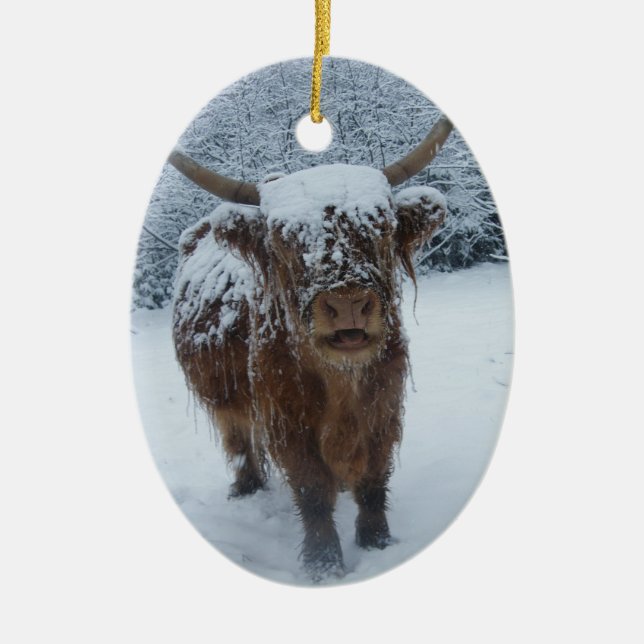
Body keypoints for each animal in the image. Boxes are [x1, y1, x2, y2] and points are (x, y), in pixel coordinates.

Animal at [169, 116, 453, 581]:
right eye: (284, 241)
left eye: (382, 228)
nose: (348, 302)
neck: (341, 381)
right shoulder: (286, 419)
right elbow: (312, 488)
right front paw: (324, 563)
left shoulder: (384, 404)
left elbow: (373, 478)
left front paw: (377, 542)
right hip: (225, 398)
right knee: (239, 440)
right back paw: (246, 487)